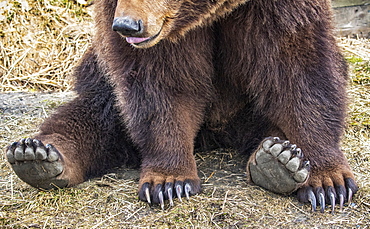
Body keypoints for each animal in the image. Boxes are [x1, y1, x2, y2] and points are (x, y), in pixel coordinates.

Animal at [6, 0, 358, 212]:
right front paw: (169, 182)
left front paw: (329, 183)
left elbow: (299, 71)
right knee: (94, 114)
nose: (127, 26)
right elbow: (161, 88)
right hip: (101, 81)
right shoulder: (156, 38)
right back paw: (37, 155)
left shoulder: (278, 11)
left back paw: (279, 159)